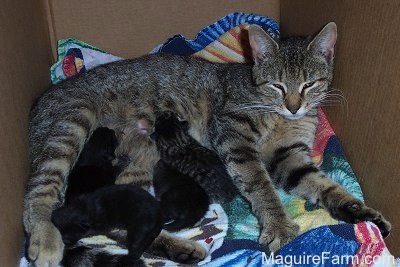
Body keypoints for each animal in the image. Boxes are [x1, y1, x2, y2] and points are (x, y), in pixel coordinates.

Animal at [23, 21, 390, 267]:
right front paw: (279, 226)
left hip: (138, 167)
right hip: (71, 126)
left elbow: (323, 185)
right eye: (277, 85)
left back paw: (180, 249)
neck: (280, 116)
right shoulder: (234, 137)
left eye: (310, 84)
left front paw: (360, 212)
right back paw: (45, 239)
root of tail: (38, 103)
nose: (294, 106)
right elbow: (261, 185)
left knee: (125, 227)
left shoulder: (291, 157)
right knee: (38, 196)